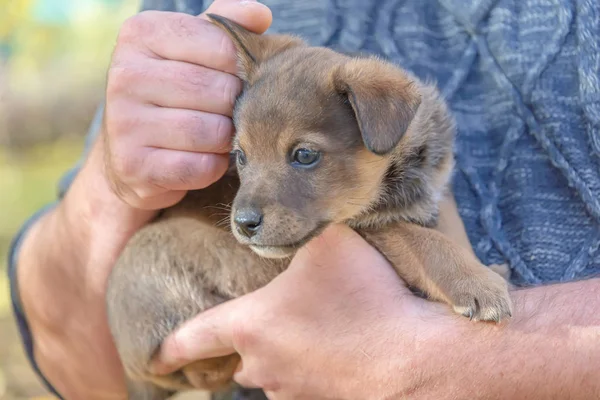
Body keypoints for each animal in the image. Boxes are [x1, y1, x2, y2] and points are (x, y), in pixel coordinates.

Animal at [105, 14, 512, 400]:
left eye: (304, 155)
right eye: (241, 155)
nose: (244, 223)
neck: (401, 173)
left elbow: (443, 228)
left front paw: (485, 269)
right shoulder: (370, 227)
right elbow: (420, 239)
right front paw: (476, 282)